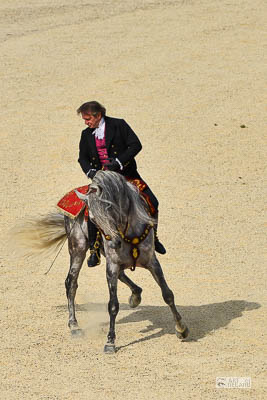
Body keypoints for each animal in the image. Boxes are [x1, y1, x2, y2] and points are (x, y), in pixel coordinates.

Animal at [18, 170, 188, 352]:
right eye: (92, 219)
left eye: (112, 209)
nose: (114, 243)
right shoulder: (112, 266)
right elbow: (113, 305)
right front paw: (110, 341)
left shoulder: (152, 262)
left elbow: (167, 294)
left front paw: (181, 329)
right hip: (77, 248)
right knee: (71, 282)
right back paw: (74, 326)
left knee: (122, 275)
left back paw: (136, 295)